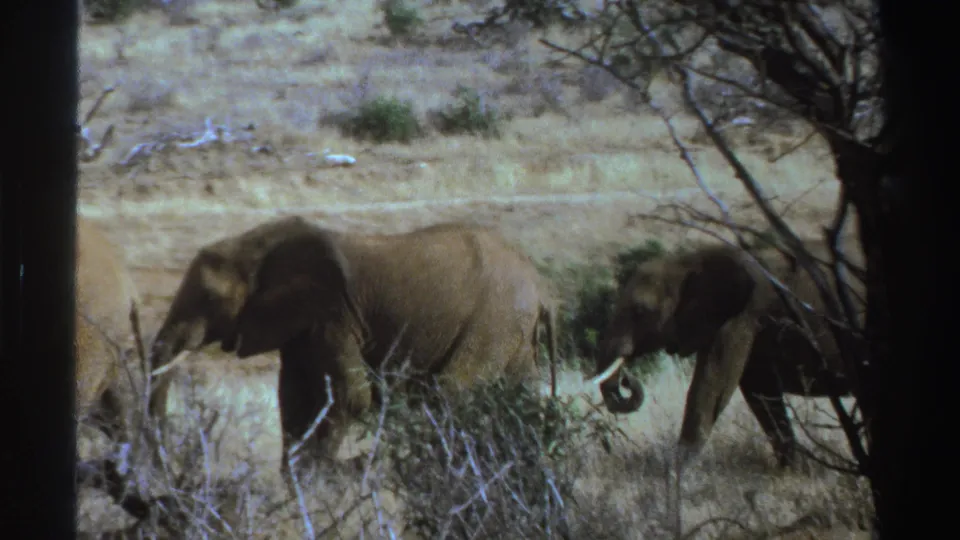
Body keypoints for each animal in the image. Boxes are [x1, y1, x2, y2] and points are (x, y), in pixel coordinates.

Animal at [146, 216, 558, 485]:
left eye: (208, 298)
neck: (255, 243)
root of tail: (539, 286)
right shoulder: (303, 326)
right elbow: (293, 399)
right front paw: (297, 483)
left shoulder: (334, 315)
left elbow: (351, 397)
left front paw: (324, 478)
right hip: (513, 331)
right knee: (518, 393)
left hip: (493, 319)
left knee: (451, 392)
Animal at [590, 238, 866, 471]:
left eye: (640, 311)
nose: (627, 379)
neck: (687, 260)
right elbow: (761, 394)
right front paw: (790, 471)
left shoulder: (741, 317)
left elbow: (711, 387)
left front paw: (676, 473)